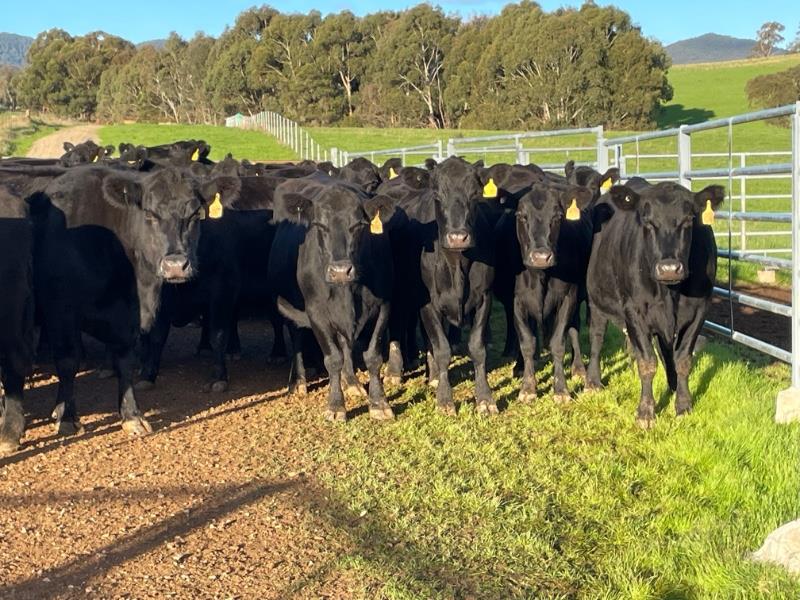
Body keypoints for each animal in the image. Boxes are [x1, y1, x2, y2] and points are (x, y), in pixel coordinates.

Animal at [29, 165, 240, 435]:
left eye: (195, 214)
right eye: (149, 213)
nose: (175, 265)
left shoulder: (128, 317)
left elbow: (126, 360)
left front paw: (131, 415)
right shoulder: (61, 309)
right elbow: (68, 361)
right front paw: (67, 418)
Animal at [268, 174, 397, 421]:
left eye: (358, 225)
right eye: (320, 225)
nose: (340, 271)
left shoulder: (384, 304)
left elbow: (373, 356)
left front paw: (379, 403)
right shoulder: (316, 312)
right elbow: (333, 358)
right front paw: (336, 405)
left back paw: (352, 382)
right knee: (296, 335)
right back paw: (297, 381)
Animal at [585, 179, 725, 427]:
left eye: (689, 220)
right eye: (647, 221)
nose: (669, 268)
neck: (670, 293)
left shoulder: (700, 310)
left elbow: (682, 360)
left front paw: (683, 405)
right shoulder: (633, 310)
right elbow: (648, 362)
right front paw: (645, 412)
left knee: (663, 350)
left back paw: (671, 384)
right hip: (596, 300)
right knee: (597, 338)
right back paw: (593, 381)